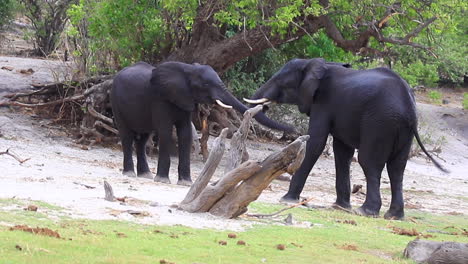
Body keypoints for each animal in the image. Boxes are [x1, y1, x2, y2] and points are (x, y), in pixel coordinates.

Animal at [110, 61, 292, 186]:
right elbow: (165, 132)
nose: (292, 128)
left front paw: (185, 183)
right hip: (116, 102)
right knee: (127, 135)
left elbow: (184, 133)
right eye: (205, 84)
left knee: (142, 138)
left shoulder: (185, 99)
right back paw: (129, 174)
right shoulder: (160, 99)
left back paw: (145, 175)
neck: (187, 70)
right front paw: (162, 180)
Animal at [245, 58, 446, 221]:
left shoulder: (323, 103)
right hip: (402, 129)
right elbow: (342, 151)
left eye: (280, 82)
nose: (292, 130)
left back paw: (365, 211)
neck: (316, 64)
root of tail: (408, 105)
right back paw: (393, 216)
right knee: (397, 168)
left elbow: (316, 142)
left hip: (380, 123)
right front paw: (340, 207)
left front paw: (286, 200)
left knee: (369, 162)